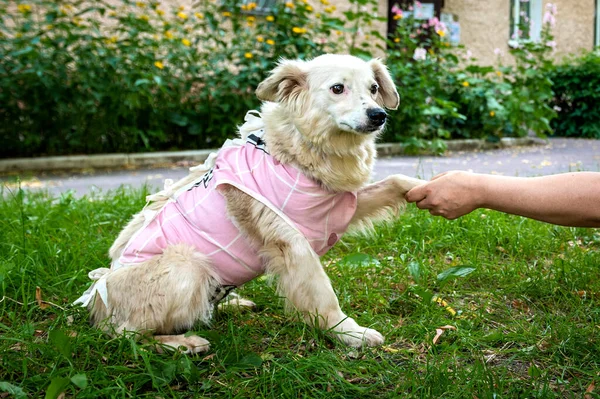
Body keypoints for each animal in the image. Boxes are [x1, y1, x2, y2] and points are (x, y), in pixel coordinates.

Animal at [75, 53, 426, 354]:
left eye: (374, 88)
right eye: (338, 88)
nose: (379, 115)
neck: (300, 150)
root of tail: (97, 302)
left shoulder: (343, 207)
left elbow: (397, 181)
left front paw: (427, 189)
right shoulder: (293, 243)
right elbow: (322, 294)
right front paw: (350, 333)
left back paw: (230, 304)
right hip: (188, 266)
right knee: (125, 335)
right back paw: (182, 344)